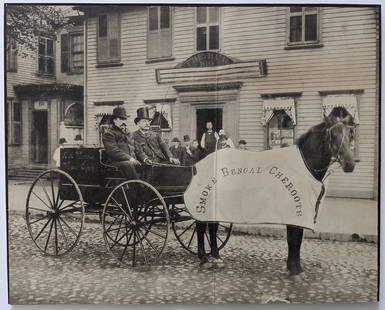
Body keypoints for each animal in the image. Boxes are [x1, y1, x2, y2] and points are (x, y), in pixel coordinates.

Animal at [195, 112, 354, 274]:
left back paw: (214, 256)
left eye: (350, 134)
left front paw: (296, 267)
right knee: (201, 226)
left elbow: (297, 239)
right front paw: (293, 268)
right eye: (333, 134)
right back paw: (204, 257)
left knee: (211, 227)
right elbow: (293, 239)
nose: (350, 164)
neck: (301, 167)